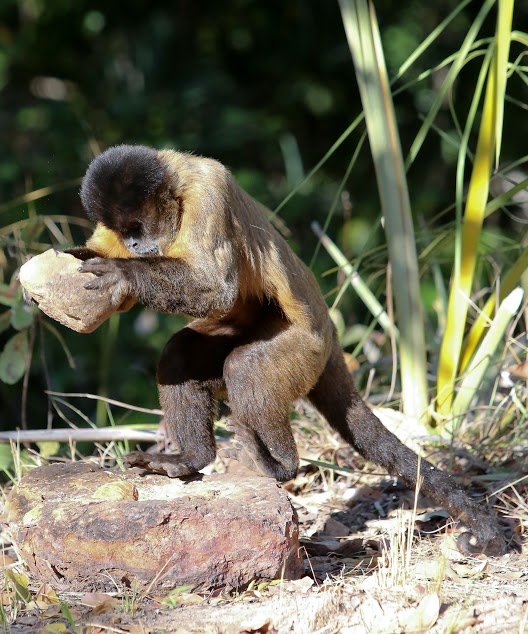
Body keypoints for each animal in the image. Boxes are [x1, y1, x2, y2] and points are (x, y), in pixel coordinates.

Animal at [69, 143, 504, 552]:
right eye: (124, 231)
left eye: (137, 226)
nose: (133, 243)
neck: (177, 185)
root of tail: (330, 334)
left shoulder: (207, 193)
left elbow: (215, 287)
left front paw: (124, 274)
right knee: (182, 354)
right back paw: (192, 460)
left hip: (306, 350)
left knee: (245, 367)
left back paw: (279, 466)